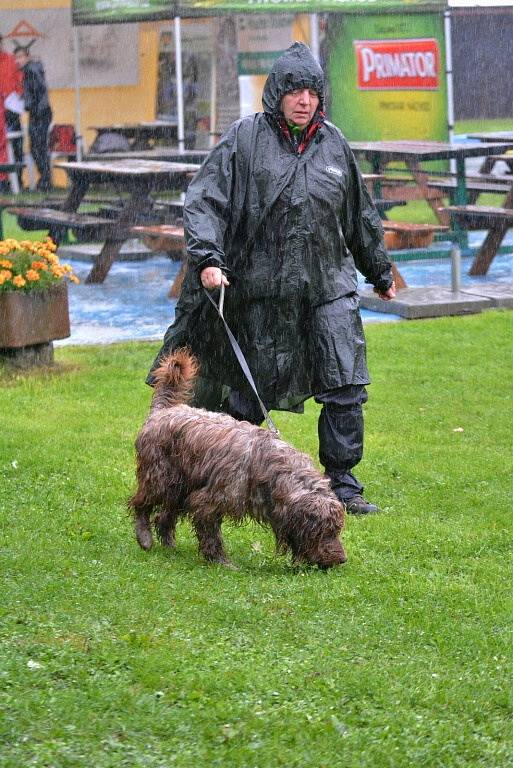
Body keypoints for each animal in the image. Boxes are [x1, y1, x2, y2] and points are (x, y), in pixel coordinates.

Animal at [128, 352, 346, 568]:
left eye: (336, 530)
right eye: (324, 531)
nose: (342, 560)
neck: (269, 469)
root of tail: (163, 411)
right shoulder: (210, 500)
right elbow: (211, 533)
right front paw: (221, 561)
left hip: (180, 487)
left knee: (163, 515)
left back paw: (169, 545)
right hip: (160, 478)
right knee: (140, 504)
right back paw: (144, 536)